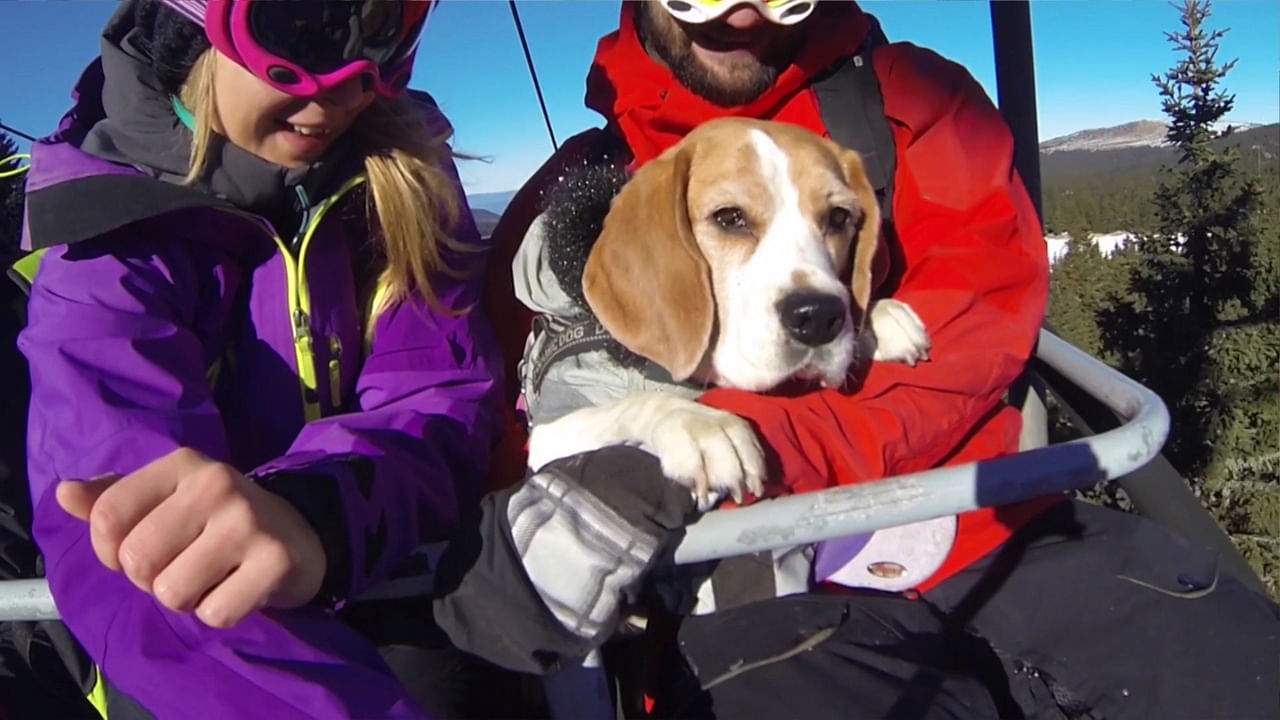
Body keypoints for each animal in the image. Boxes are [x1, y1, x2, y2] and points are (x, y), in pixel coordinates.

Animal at [524, 117, 926, 507]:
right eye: (730, 217)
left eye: (840, 217)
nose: (818, 317)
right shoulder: (550, 429)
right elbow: (632, 404)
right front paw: (699, 425)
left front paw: (878, 317)